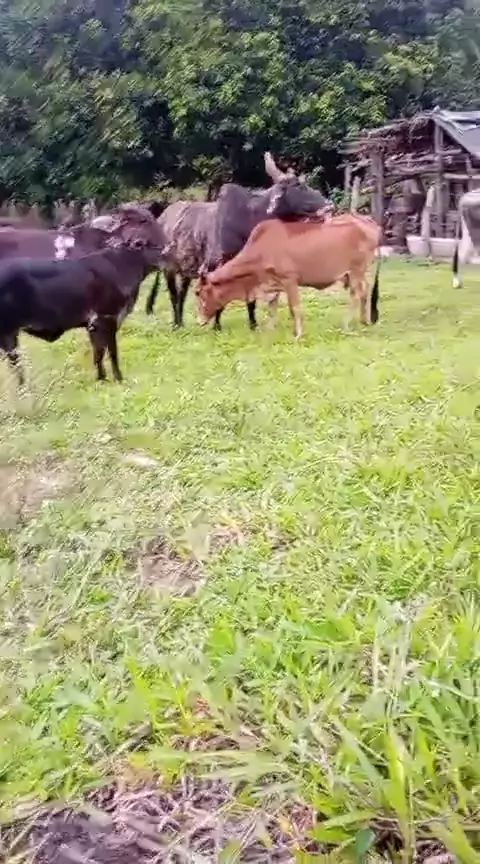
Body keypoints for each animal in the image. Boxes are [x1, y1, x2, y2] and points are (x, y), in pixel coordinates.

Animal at [0, 205, 167, 386]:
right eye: (142, 221)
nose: (167, 244)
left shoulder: (95, 323)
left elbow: (99, 351)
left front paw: (102, 379)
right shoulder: (105, 317)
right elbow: (109, 351)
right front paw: (117, 378)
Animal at [145, 153, 329, 330]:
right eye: (297, 186)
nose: (328, 205)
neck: (249, 219)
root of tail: (161, 217)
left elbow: (251, 300)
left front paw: (253, 325)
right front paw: (216, 326)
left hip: (186, 271)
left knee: (182, 294)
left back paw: (181, 322)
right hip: (168, 268)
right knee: (173, 294)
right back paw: (177, 324)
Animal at [194, 213, 381, 339]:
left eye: (198, 292)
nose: (199, 320)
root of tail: (368, 222)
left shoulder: (289, 280)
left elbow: (294, 307)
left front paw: (298, 334)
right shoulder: (273, 284)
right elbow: (272, 308)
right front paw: (270, 329)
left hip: (356, 271)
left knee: (356, 295)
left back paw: (346, 325)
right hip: (358, 273)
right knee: (365, 290)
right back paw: (364, 321)